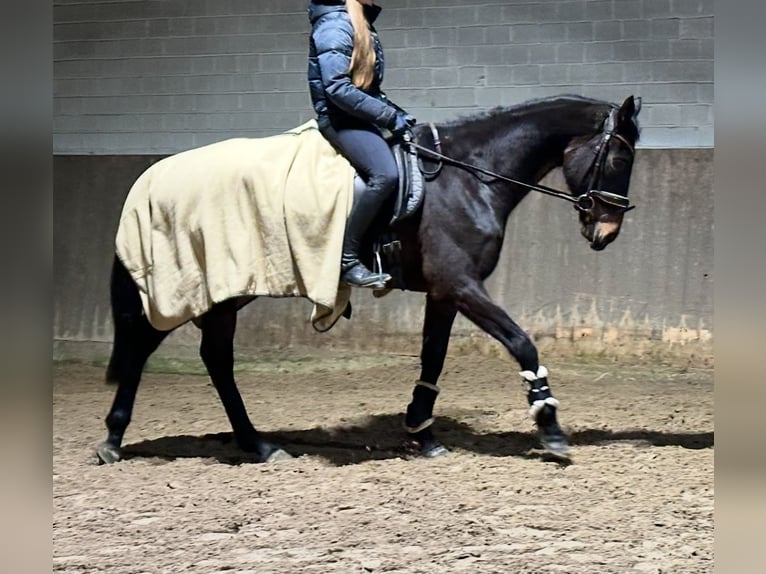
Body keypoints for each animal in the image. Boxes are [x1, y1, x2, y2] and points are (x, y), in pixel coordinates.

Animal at [99, 94, 644, 468]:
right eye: (620, 159)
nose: (607, 232)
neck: (469, 176)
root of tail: (151, 179)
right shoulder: (463, 285)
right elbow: (521, 343)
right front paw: (550, 429)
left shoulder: (445, 292)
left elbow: (433, 358)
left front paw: (422, 432)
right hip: (194, 285)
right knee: (146, 344)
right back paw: (112, 440)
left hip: (227, 293)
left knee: (214, 357)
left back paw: (258, 445)